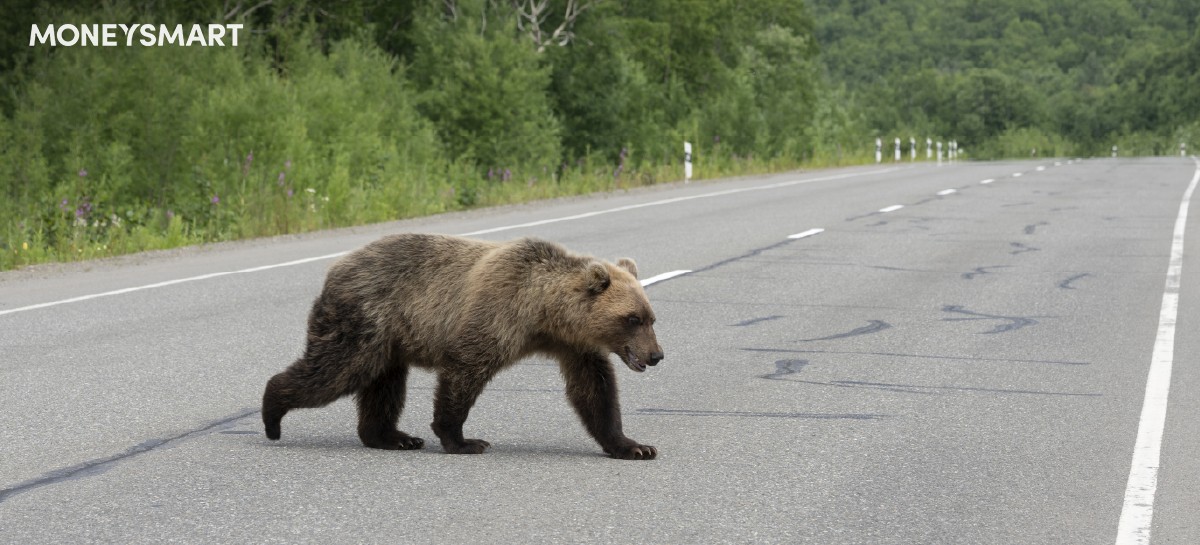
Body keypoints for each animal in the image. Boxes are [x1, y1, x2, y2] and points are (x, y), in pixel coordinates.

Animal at [261, 233, 664, 460]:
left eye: (651, 318)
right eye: (632, 319)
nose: (656, 355)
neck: (543, 314)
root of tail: (336, 267)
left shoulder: (573, 345)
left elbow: (595, 391)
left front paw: (634, 446)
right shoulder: (496, 314)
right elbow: (464, 370)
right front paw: (464, 440)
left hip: (389, 339)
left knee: (385, 385)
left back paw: (394, 437)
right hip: (365, 320)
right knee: (335, 370)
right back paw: (272, 414)